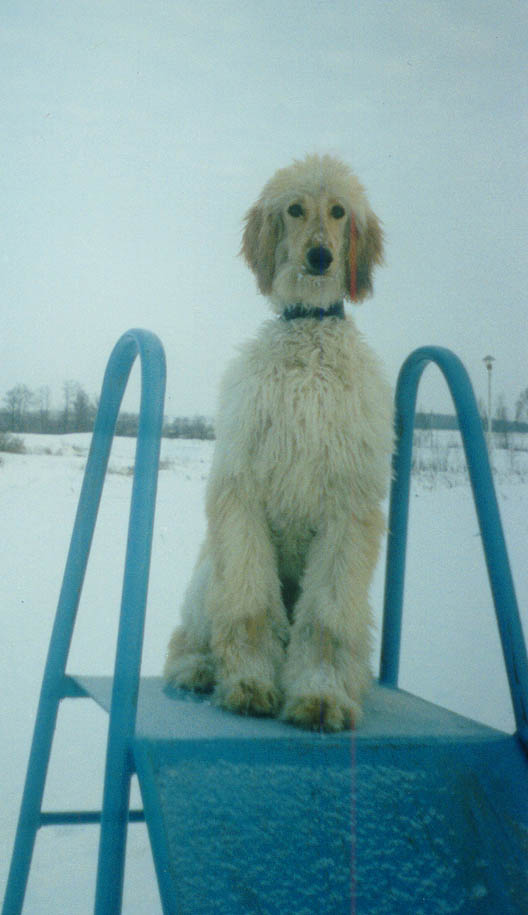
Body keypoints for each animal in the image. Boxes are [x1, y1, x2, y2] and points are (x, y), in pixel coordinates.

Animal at [164, 154, 392, 732]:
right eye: (294, 209)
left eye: (338, 212)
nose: (320, 256)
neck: (308, 334)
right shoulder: (242, 492)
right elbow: (248, 605)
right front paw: (248, 684)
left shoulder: (348, 510)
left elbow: (327, 618)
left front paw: (322, 695)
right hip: (206, 576)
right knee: (188, 635)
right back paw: (198, 668)